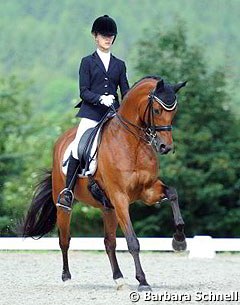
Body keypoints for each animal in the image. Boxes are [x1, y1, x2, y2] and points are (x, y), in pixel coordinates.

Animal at [22, 75, 188, 290]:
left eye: (173, 112)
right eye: (157, 110)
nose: (165, 147)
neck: (132, 144)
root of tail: (62, 140)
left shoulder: (147, 191)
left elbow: (173, 193)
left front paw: (179, 241)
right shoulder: (120, 198)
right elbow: (132, 241)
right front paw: (143, 281)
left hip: (107, 208)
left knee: (109, 242)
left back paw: (119, 279)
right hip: (65, 206)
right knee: (64, 239)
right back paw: (66, 277)